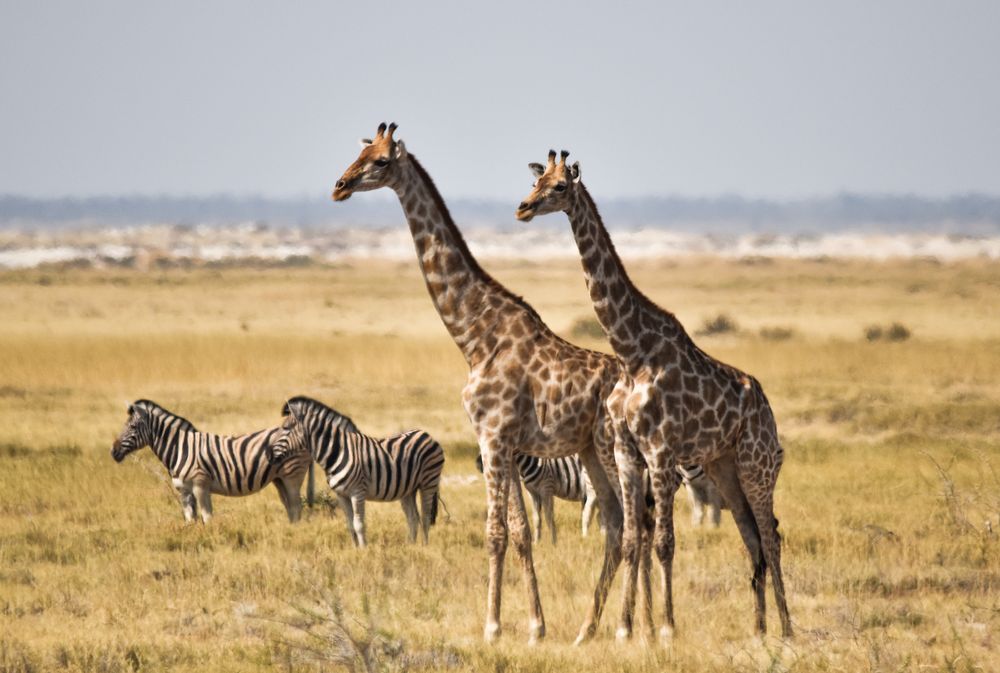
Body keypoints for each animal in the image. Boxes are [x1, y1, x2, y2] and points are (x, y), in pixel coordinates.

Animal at [110, 400, 314, 524]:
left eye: (132, 426)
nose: (113, 452)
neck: (179, 448)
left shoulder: (201, 485)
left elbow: (207, 518)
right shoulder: (184, 491)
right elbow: (190, 520)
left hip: (292, 474)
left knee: (296, 507)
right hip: (279, 479)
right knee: (291, 508)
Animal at [272, 394, 448, 544]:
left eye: (286, 428)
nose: (270, 455)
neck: (338, 452)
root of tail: (426, 434)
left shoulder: (358, 492)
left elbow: (359, 524)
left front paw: (364, 550)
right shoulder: (341, 495)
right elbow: (350, 525)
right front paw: (354, 550)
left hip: (428, 482)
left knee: (425, 517)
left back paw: (424, 547)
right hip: (408, 489)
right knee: (413, 518)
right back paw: (410, 547)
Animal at [328, 123, 648, 644]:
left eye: (380, 162)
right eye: (360, 151)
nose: (339, 186)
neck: (474, 335)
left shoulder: (492, 436)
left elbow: (495, 533)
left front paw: (493, 626)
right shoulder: (507, 444)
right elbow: (520, 531)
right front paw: (536, 627)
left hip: (610, 448)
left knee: (636, 525)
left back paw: (627, 628)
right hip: (587, 451)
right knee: (619, 526)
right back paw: (593, 628)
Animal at [516, 150, 788, 644]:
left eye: (560, 187)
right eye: (535, 181)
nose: (523, 208)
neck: (631, 351)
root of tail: (767, 409)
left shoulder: (660, 450)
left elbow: (663, 542)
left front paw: (665, 629)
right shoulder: (627, 450)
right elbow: (629, 539)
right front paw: (625, 629)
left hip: (757, 465)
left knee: (771, 535)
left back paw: (788, 627)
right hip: (724, 466)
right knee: (752, 536)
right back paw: (759, 629)